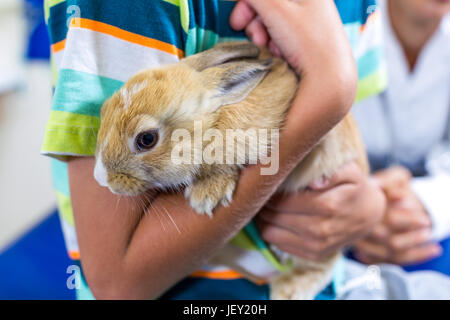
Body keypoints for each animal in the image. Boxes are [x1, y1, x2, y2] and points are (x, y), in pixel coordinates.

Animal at [93, 42, 368, 300]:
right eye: (103, 110)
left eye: (147, 139)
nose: (101, 178)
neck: (213, 121)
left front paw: (205, 197)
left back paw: (286, 291)